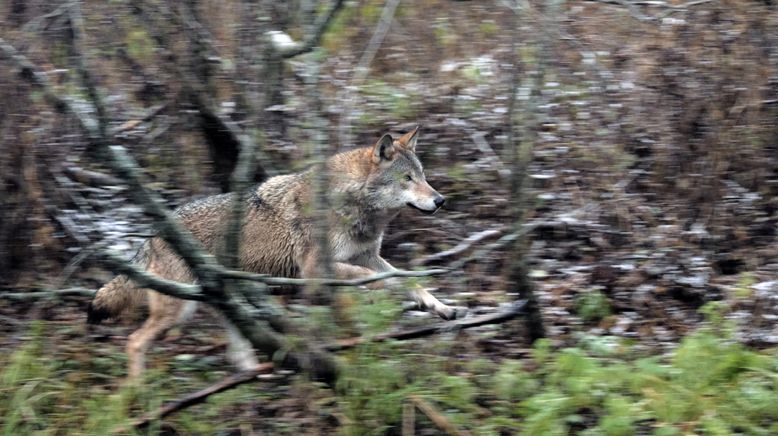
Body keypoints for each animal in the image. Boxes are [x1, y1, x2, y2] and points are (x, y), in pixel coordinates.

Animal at [88, 126, 464, 378]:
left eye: (423, 176)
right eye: (406, 179)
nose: (441, 200)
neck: (350, 205)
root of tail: (153, 234)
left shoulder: (366, 255)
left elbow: (407, 280)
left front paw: (440, 308)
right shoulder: (317, 271)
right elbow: (377, 279)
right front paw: (380, 299)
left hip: (226, 304)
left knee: (239, 353)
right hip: (178, 311)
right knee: (135, 342)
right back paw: (136, 393)